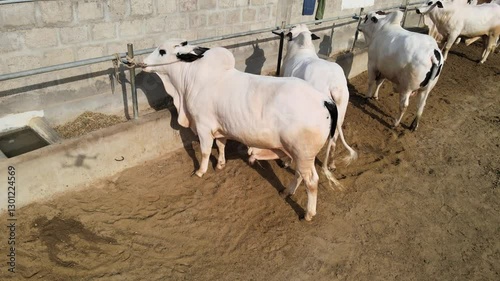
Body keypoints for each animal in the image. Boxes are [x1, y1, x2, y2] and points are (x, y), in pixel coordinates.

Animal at [142, 39, 340, 220]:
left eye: (162, 51)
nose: (142, 62)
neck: (189, 79)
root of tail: (324, 100)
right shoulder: (220, 128)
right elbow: (221, 145)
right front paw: (220, 164)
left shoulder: (203, 126)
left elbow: (205, 152)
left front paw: (200, 171)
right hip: (300, 155)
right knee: (299, 175)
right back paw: (286, 192)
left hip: (303, 154)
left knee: (311, 181)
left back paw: (308, 213)